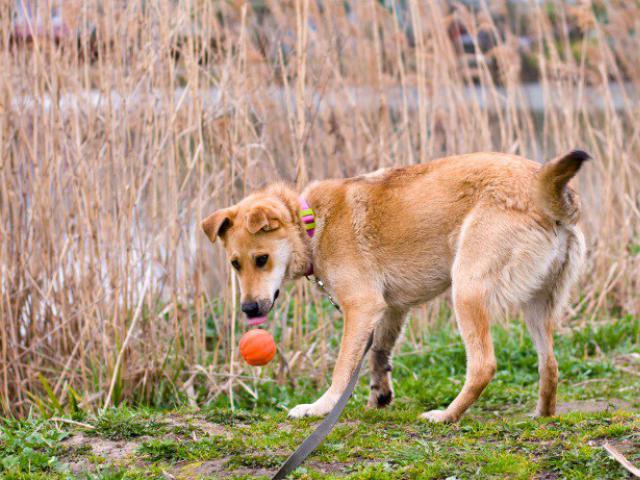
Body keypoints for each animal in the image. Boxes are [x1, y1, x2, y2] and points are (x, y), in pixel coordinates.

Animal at [202, 151, 588, 424]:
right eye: (235, 264)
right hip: (538, 305)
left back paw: (446, 416)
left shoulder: (362, 307)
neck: (311, 223)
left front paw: (321, 408)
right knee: (550, 365)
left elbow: (343, 369)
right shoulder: (390, 309)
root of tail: (547, 194)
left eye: (261, 259)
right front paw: (379, 398)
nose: (249, 310)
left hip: (466, 290)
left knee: (483, 366)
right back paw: (542, 415)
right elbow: (378, 355)